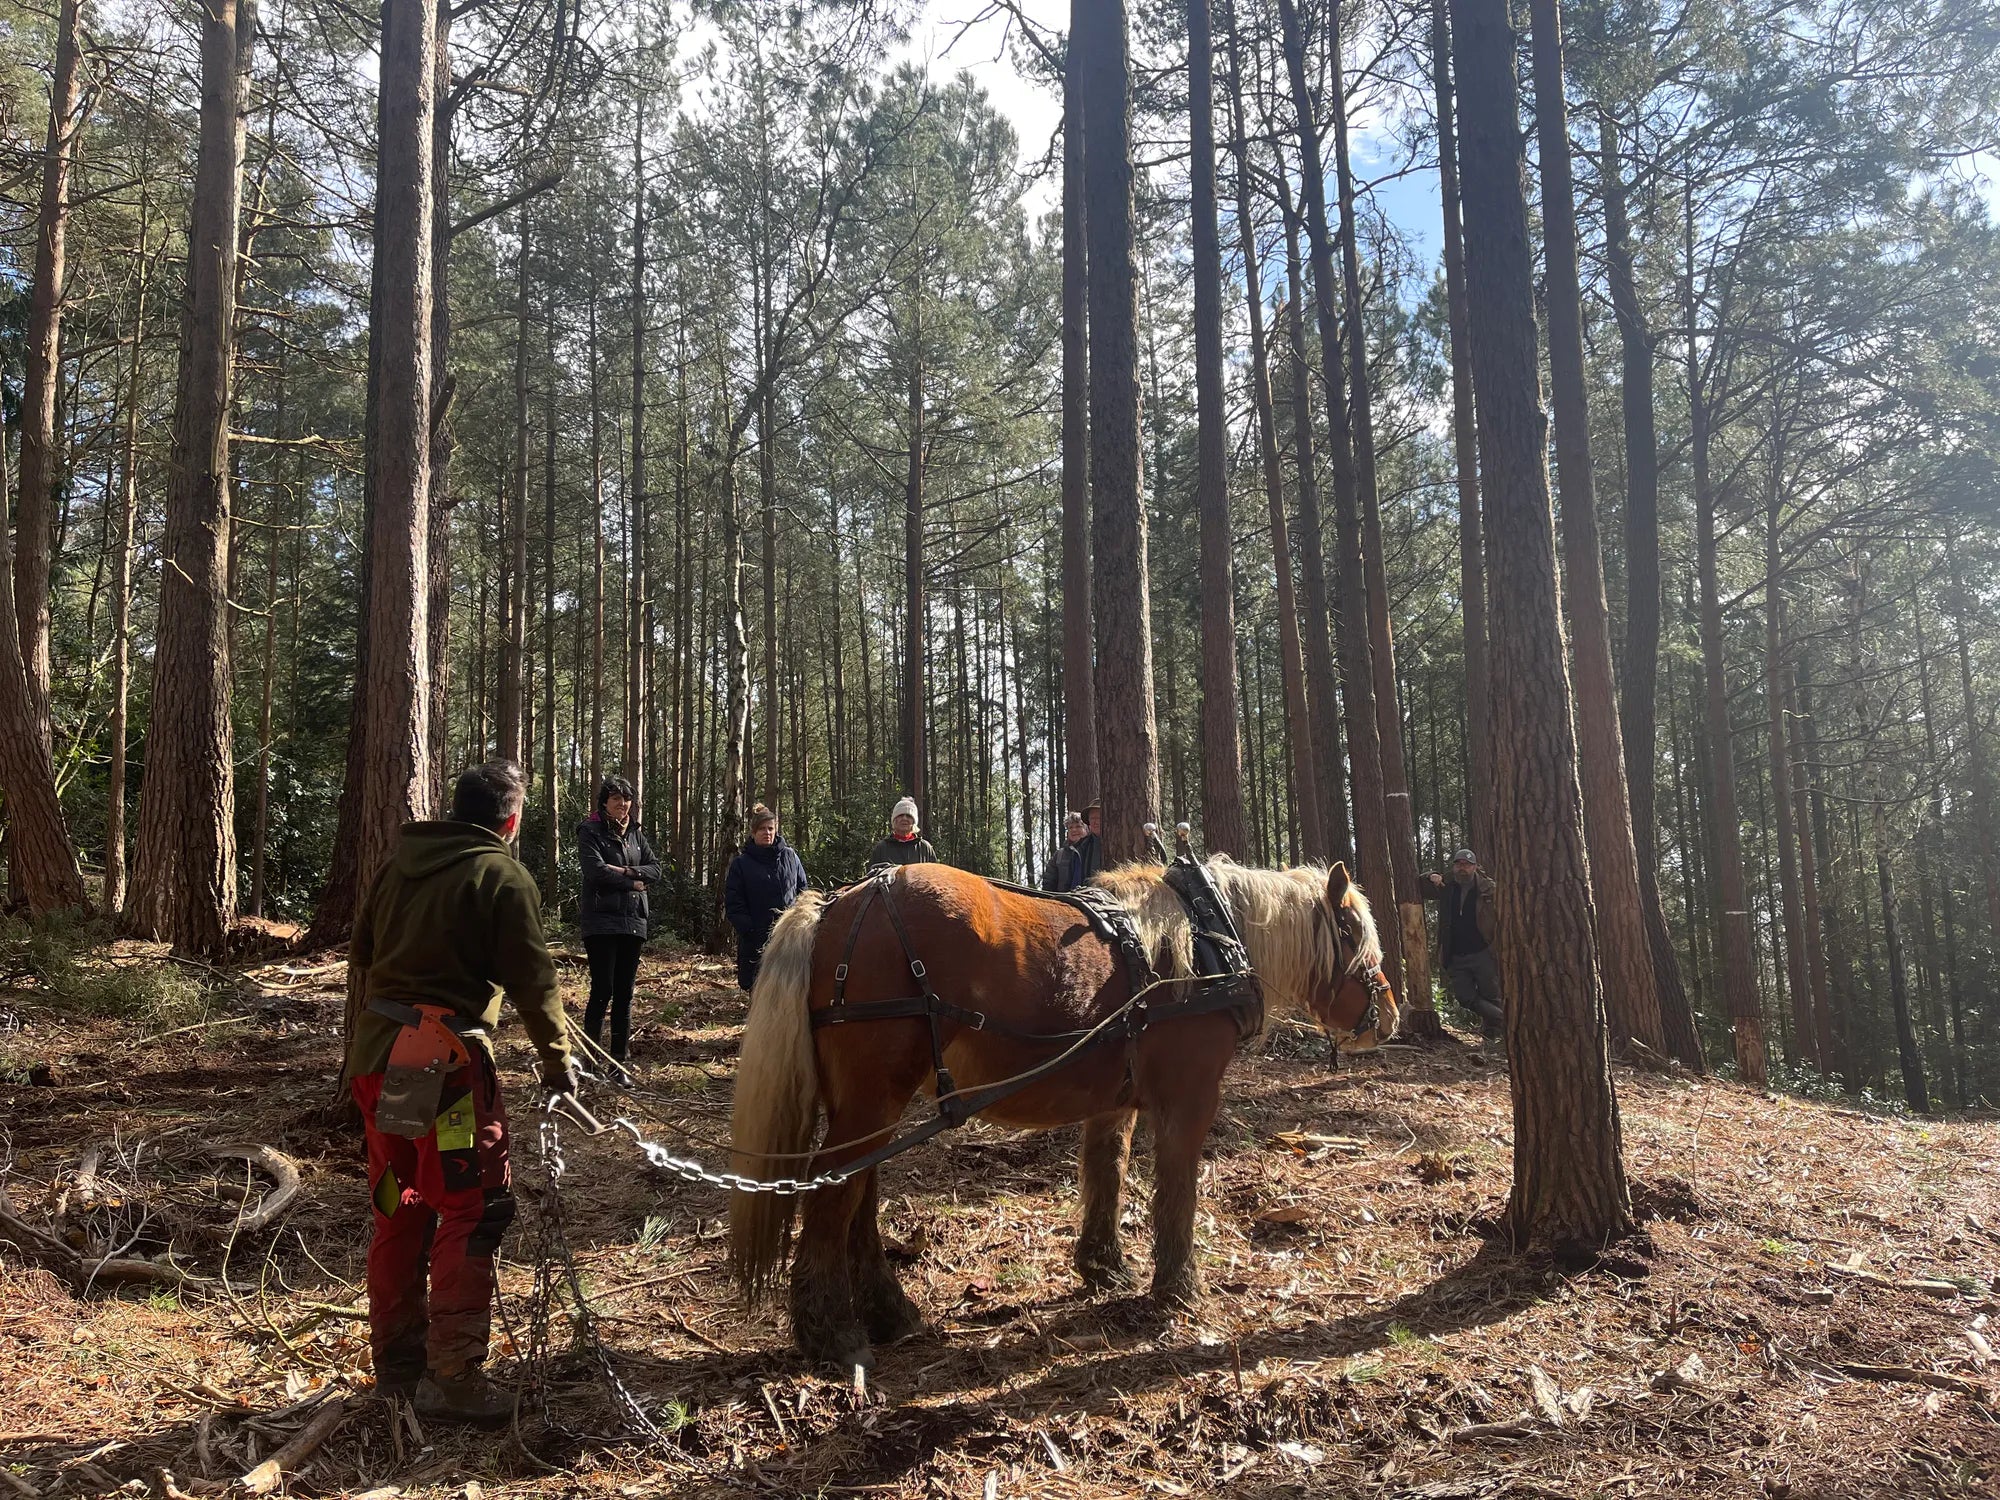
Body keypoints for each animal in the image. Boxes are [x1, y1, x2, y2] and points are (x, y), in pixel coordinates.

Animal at [727, 857, 1396, 1369]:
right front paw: (1178, 1287)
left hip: (870, 1102)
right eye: (1355, 934)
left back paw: (891, 1313)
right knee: (832, 1194)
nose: (1389, 1015)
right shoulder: (1190, 1097)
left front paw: (1104, 1267)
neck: (1208, 944)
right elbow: (1177, 1189)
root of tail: (837, 905)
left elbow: (1107, 1170)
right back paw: (830, 1333)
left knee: (857, 1195)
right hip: (872, 1099)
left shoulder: (1114, 1102)